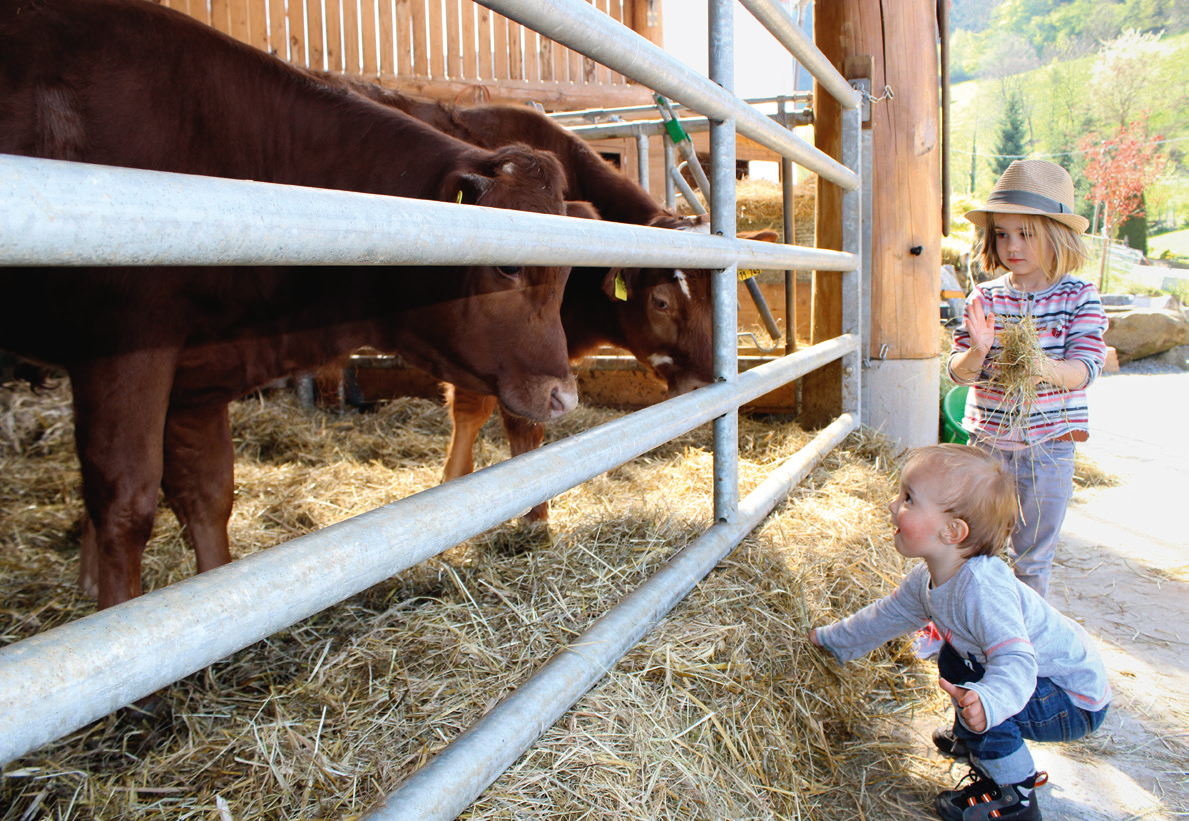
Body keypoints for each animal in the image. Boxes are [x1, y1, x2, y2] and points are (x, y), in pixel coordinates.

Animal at [0, 0, 580, 606]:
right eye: (507, 264)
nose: (563, 395)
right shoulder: (121, 350)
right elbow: (126, 507)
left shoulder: (200, 377)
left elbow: (210, 494)